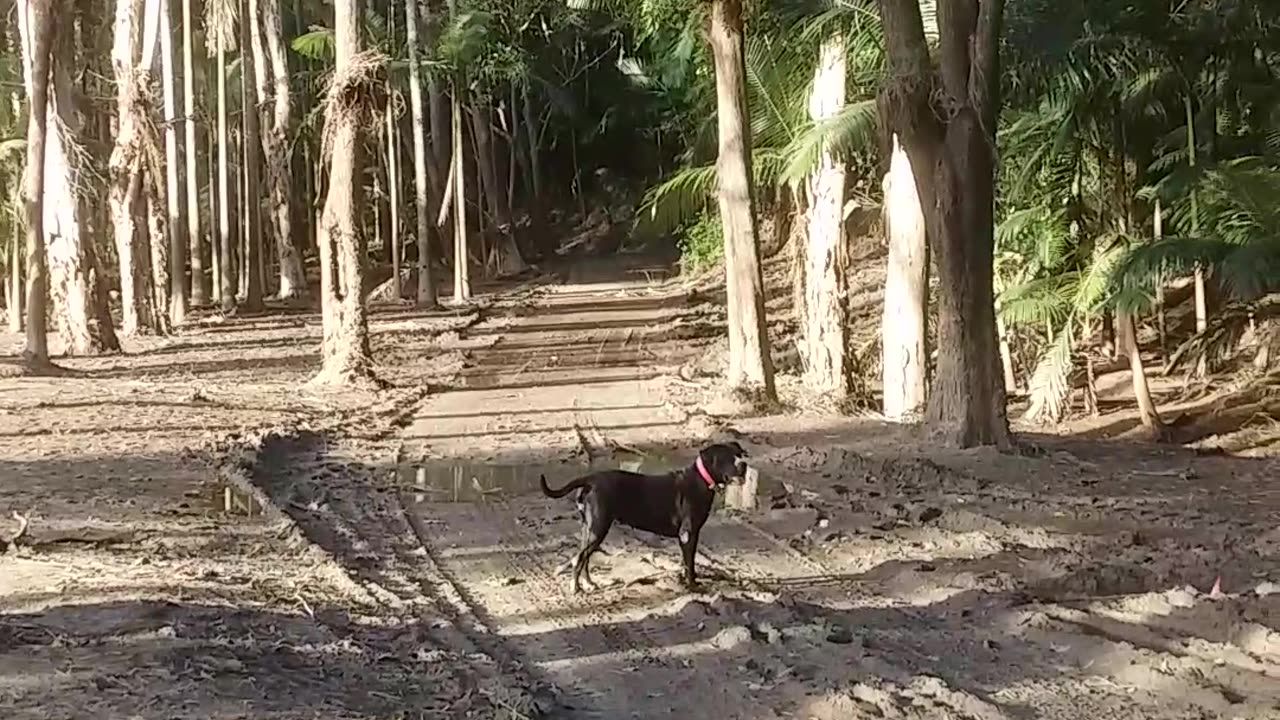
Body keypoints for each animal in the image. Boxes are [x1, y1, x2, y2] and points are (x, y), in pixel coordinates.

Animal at [540, 440, 747, 591]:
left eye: (739, 454)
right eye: (726, 457)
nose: (743, 464)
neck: (702, 478)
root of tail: (590, 479)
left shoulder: (688, 536)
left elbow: (686, 562)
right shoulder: (688, 534)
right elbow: (690, 564)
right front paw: (693, 586)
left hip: (588, 528)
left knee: (583, 558)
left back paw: (589, 583)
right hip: (598, 528)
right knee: (580, 558)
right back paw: (575, 587)